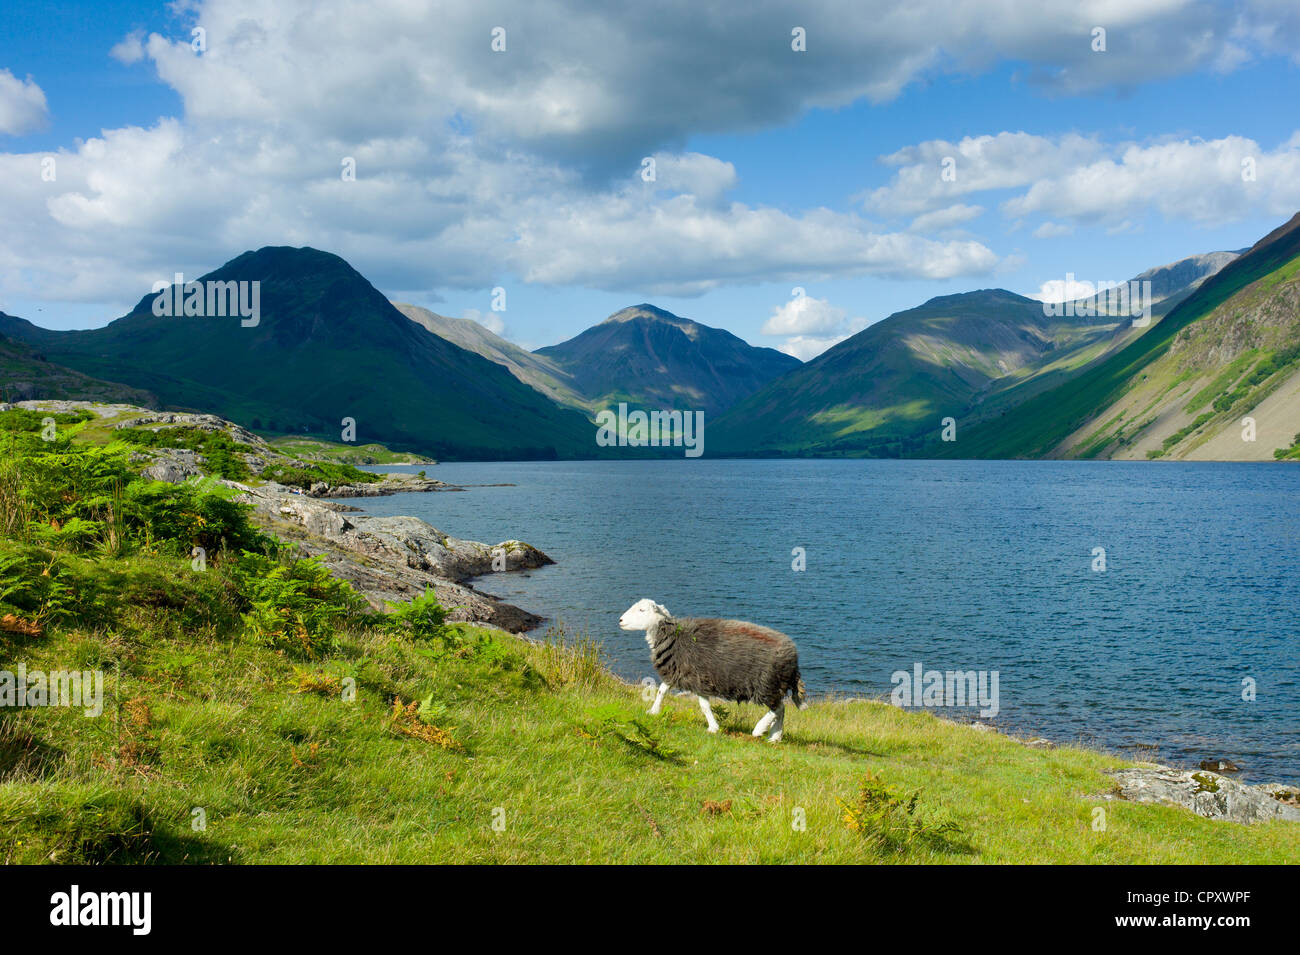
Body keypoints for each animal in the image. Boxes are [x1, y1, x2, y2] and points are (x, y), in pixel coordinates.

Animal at [616, 600, 800, 743]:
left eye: (642, 610)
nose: (620, 620)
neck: (674, 635)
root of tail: (793, 653)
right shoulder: (678, 672)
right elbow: (662, 690)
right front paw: (653, 711)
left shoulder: (697, 678)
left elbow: (703, 705)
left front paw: (713, 728)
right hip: (775, 685)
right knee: (782, 709)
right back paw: (775, 737)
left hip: (767, 684)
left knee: (777, 709)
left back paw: (760, 729)